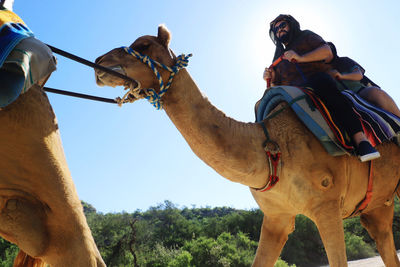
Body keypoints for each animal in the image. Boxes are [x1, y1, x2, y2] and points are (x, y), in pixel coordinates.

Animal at [94, 24, 400, 266]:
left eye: (143, 45)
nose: (99, 62)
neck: (273, 147)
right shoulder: (276, 215)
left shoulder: (327, 204)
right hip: (378, 205)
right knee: (384, 237)